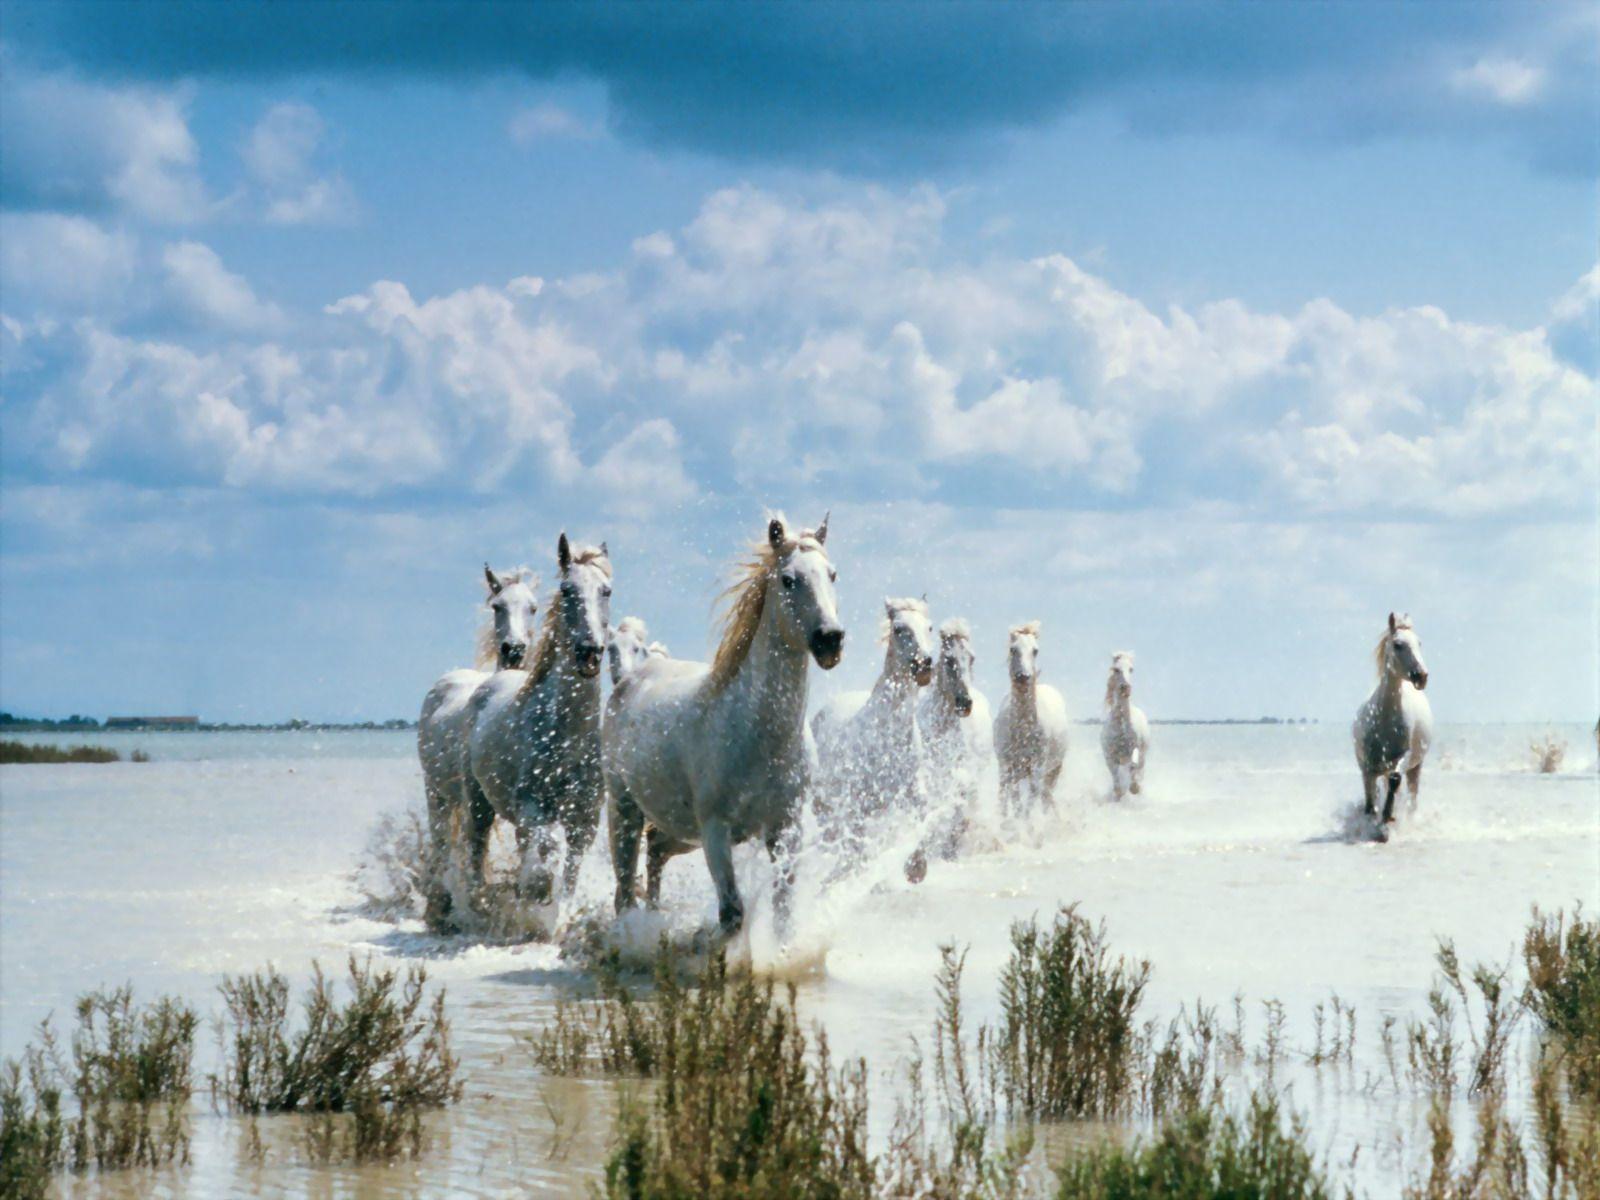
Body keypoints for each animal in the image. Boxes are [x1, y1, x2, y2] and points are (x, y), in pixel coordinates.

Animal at [604, 514, 843, 936]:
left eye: (832, 574)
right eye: (788, 579)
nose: (830, 640)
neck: (758, 732)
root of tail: (627, 682)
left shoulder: (786, 826)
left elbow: (783, 909)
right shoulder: (715, 830)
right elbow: (732, 914)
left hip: (677, 830)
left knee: (655, 858)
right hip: (625, 809)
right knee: (624, 890)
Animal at [811, 596, 936, 879]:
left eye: (930, 627)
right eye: (899, 629)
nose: (924, 666)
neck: (888, 735)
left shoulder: (912, 791)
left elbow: (925, 813)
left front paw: (916, 868)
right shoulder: (858, 809)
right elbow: (857, 851)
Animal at [993, 622, 1070, 818]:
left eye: (1035, 651)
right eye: (1013, 649)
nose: (1023, 676)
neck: (1023, 729)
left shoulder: (1038, 766)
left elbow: (1032, 796)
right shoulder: (1010, 765)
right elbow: (1014, 799)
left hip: (1054, 769)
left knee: (1046, 795)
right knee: (1006, 794)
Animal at [1099, 651, 1149, 801]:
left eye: (1131, 669)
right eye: (1116, 669)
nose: (1125, 688)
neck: (1121, 728)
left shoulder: (1135, 748)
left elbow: (1134, 767)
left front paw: (1135, 788)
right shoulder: (1109, 757)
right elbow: (1117, 785)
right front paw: (1118, 795)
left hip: (1144, 752)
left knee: (1140, 769)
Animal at [1352, 612, 1432, 835]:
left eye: (1419, 643)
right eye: (1398, 645)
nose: (1422, 676)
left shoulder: (1403, 756)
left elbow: (1395, 779)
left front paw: (1388, 816)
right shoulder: (1367, 766)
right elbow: (1370, 799)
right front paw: (1373, 819)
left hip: (1416, 766)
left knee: (1410, 795)